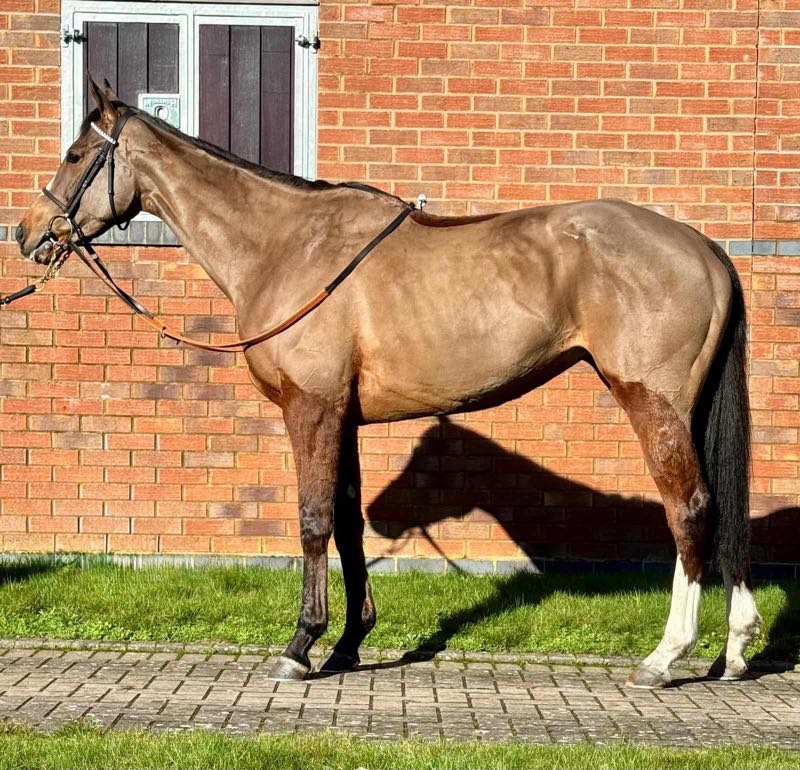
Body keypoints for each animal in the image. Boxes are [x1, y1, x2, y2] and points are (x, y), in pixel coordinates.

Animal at [13, 79, 761, 689]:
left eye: (76, 155)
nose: (28, 233)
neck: (287, 246)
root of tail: (701, 245)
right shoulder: (342, 415)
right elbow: (346, 523)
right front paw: (347, 643)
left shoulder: (311, 408)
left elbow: (314, 521)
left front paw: (300, 646)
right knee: (722, 510)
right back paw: (734, 649)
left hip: (652, 402)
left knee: (690, 508)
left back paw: (666, 657)